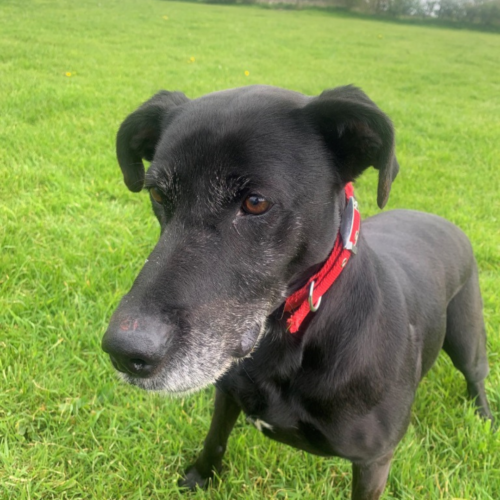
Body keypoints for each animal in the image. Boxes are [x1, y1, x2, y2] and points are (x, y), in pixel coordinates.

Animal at [101, 87, 492, 500]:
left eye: (256, 202)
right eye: (158, 194)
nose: (124, 352)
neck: (287, 336)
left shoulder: (374, 462)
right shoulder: (226, 393)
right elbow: (215, 440)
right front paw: (200, 477)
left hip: (467, 335)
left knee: (475, 375)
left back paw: (483, 418)